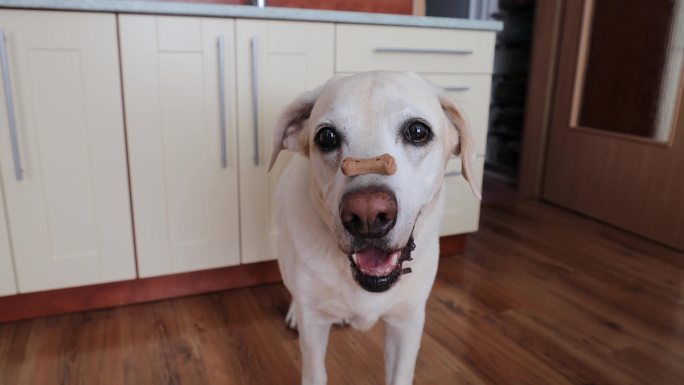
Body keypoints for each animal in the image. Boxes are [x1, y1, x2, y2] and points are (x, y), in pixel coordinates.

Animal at [268, 71, 480, 384]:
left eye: (418, 131)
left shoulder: (407, 323)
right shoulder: (314, 328)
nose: (367, 214)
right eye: (327, 136)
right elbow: (315, 371)